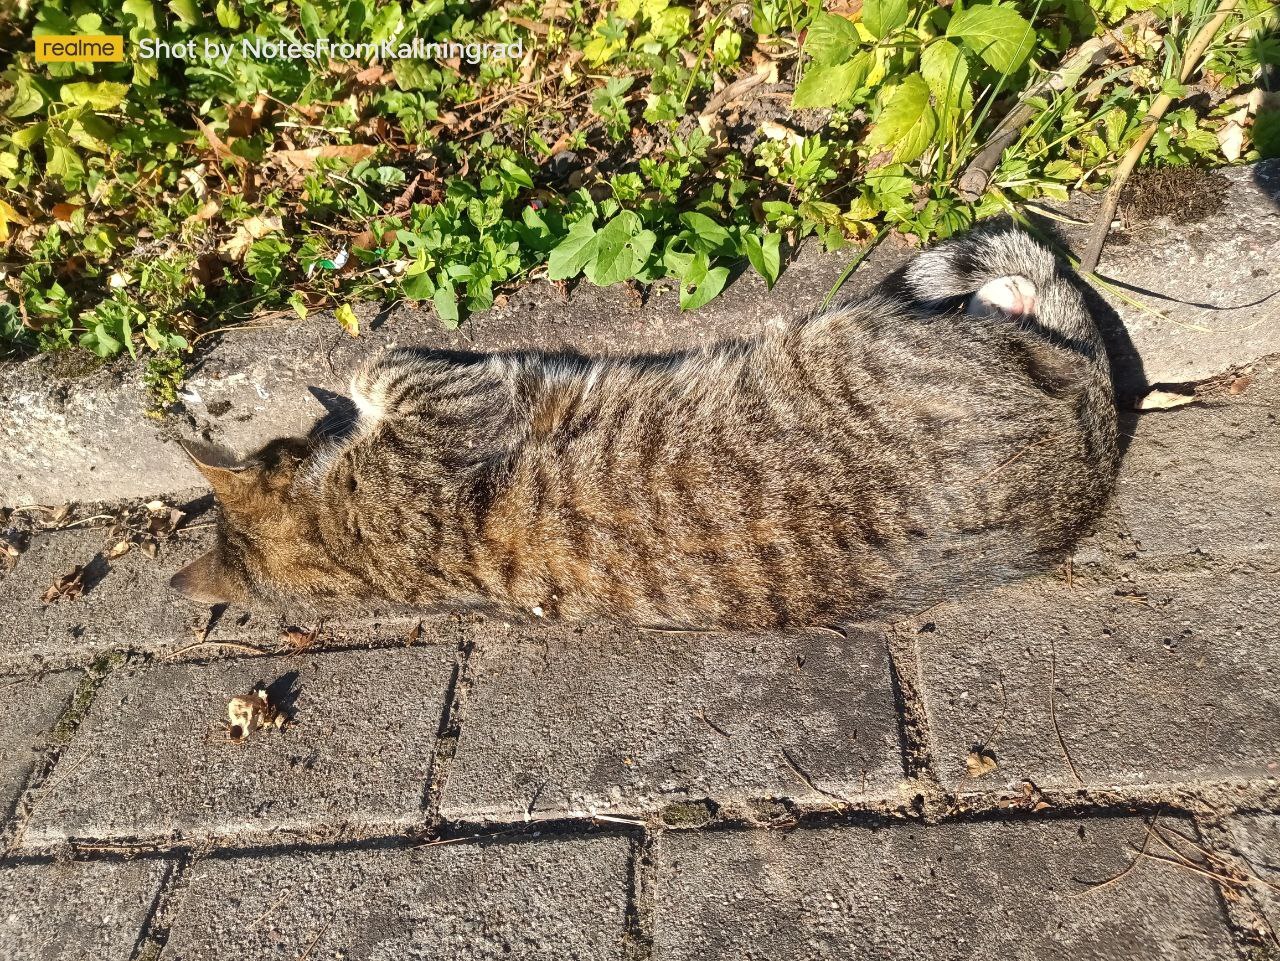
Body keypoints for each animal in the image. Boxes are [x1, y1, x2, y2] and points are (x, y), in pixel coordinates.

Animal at [172, 227, 1121, 627]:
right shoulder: (450, 405)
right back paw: (1008, 293)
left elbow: (373, 364)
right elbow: (378, 363)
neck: (349, 542)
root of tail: (1088, 462)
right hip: (870, 333)